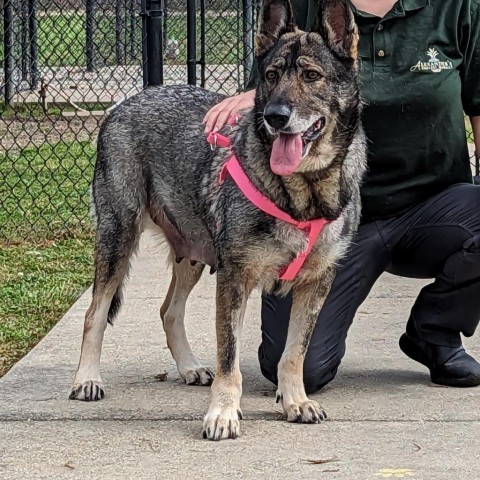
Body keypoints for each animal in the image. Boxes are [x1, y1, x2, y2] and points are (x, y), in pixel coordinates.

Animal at [69, 0, 366, 438]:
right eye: (271, 75)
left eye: (312, 75)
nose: (275, 116)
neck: (303, 193)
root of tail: (125, 102)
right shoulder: (234, 279)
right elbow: (230, 357)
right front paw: (223, 413)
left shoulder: (316, 283)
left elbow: (294, 353)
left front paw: (294, 401)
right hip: (118, 238)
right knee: (95, 312)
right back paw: (87, 379)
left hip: (193, 251)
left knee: (169, 310)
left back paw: (189, 367)